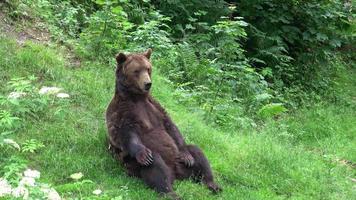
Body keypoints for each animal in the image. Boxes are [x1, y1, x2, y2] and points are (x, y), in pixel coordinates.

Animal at [105, 48, 220, 198]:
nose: (147, 83)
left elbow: (170, 126)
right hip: (135, 166)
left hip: (181, 163)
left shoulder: (155, 107)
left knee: (197, 152)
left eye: (148, 68)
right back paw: (170, 192)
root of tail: (177, 175)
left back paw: (211, 183)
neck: (136, 97)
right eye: (136, 70)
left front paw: (187, 156)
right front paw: (143, 154)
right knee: (157, 166)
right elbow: (127, 133)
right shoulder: (122, 111)